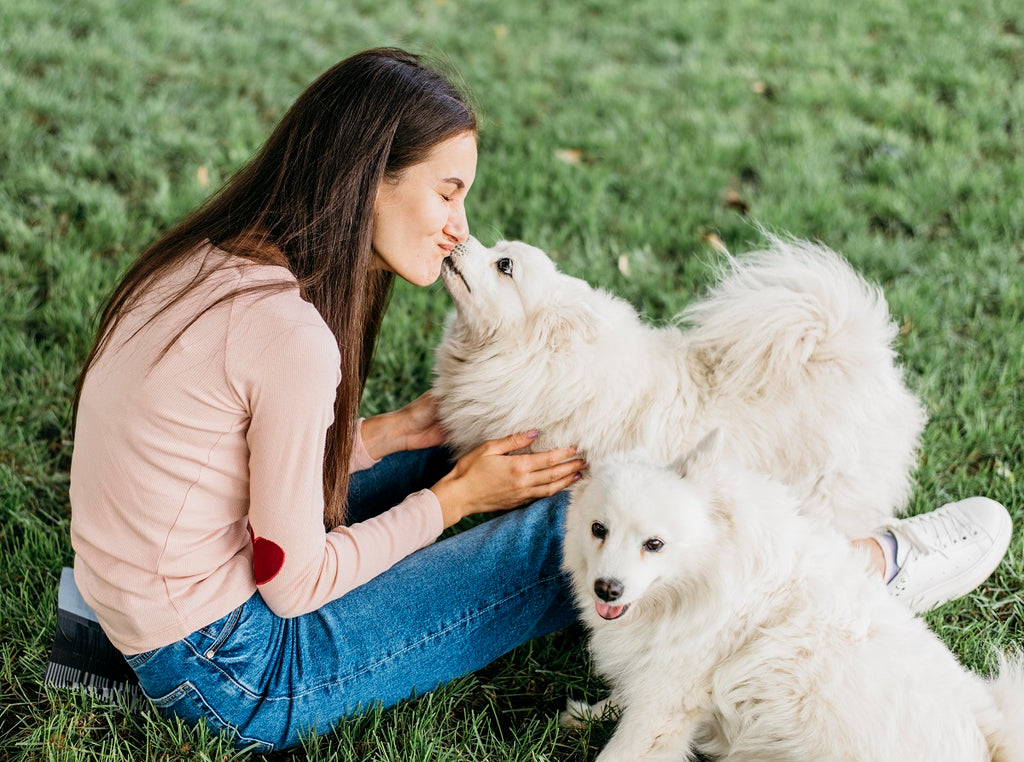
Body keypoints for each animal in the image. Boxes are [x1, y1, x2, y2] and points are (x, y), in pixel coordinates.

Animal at [561, 432, 1024, 757]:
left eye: (654, 544)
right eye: (598, 529)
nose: (607, 588)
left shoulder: (666, 702)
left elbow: (621, 748)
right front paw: (589, 714)